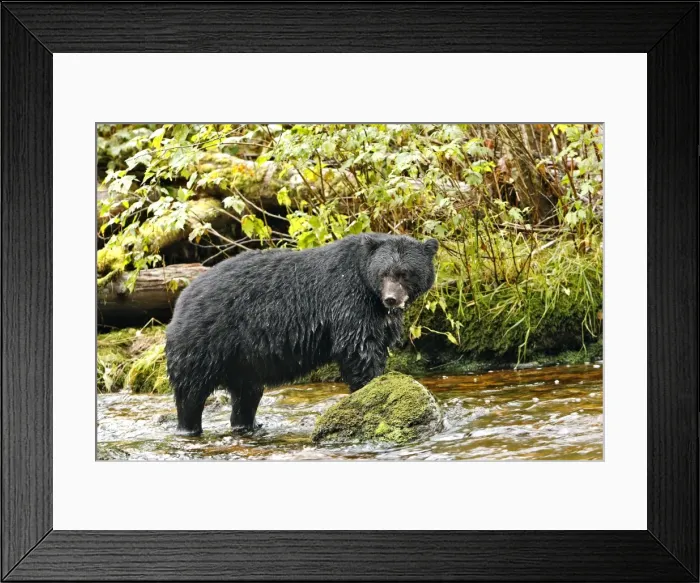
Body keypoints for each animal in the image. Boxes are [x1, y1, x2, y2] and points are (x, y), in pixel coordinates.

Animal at [165, 233, 438, 435]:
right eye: (384, 273)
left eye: (405, 273)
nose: (392, 298)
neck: (367, 287)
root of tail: (184, 296)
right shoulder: (348, 301)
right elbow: (359, 349)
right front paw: (370, 387)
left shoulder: (379, 317)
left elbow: (376, 344)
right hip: (204, 342)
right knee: (191, 392)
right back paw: (189, 427)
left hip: (243, 359)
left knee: (247, 394)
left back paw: (248, 425)